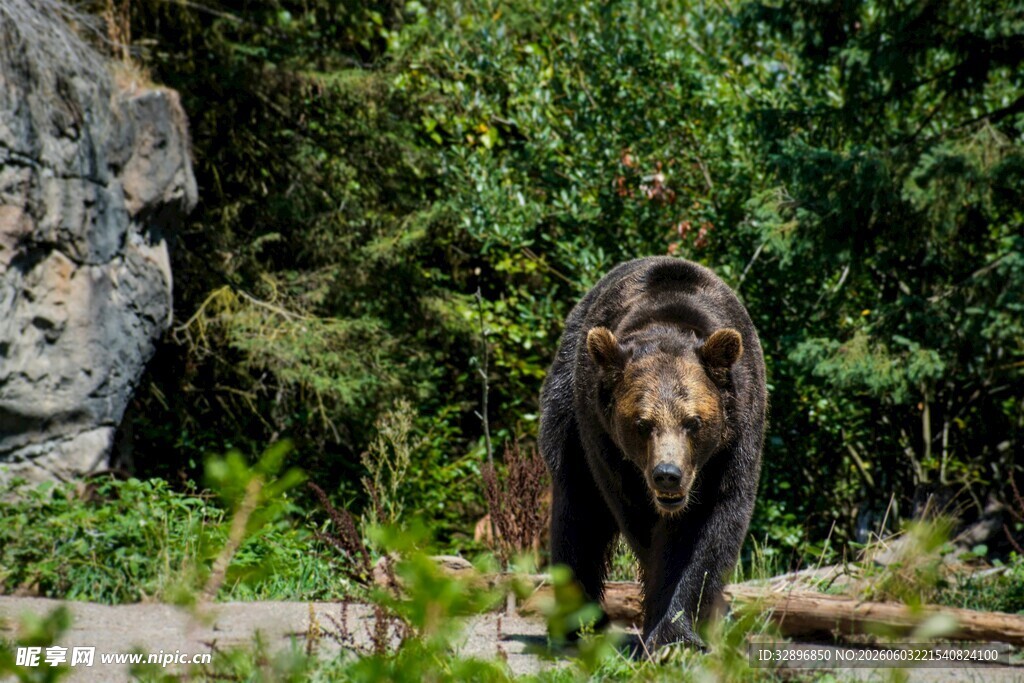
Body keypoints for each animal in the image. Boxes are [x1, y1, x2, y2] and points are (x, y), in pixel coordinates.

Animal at [539, 256, 767, 651]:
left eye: (693, 421)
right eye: (642, 423)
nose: (667, 475)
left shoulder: (735, 442)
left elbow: (704, 532)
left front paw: (678, 631)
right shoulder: (605, 443)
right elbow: (639, 521)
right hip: (566, 415)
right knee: (577, 515)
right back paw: (579, 625)